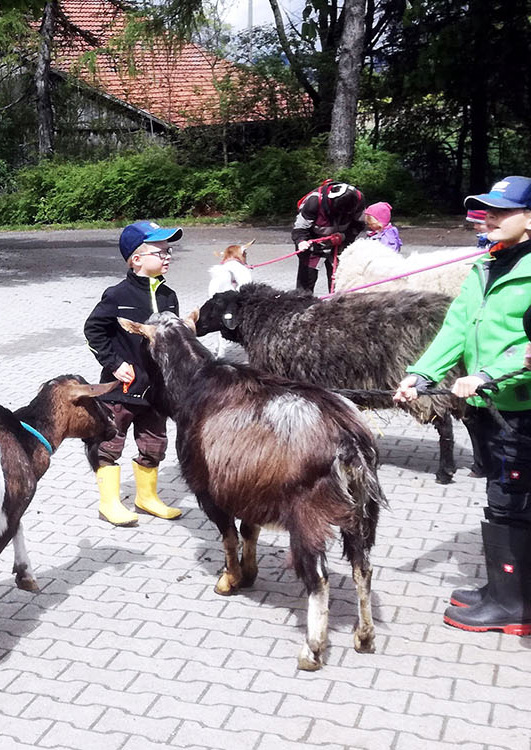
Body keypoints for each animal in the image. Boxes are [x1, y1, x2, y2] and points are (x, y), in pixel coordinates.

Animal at [0, 376, 117, 592]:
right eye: (94, 400)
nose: (113, 417)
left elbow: (19, 526)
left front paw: (25, 575)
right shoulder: (11, 510)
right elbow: (17, 526)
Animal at [120, 314, 386, 672]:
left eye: (142, 343)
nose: (136, 387)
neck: (195, 383)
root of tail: (349, 441)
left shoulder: (210, 490)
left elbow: (228, 536)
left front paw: (229, 579)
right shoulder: (250, 488)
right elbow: (249, 530)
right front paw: (248, 574)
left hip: (308, 514)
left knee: (319, 578)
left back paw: (312, 650)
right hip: (359, 511)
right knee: (363, 568)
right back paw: (364, 636)